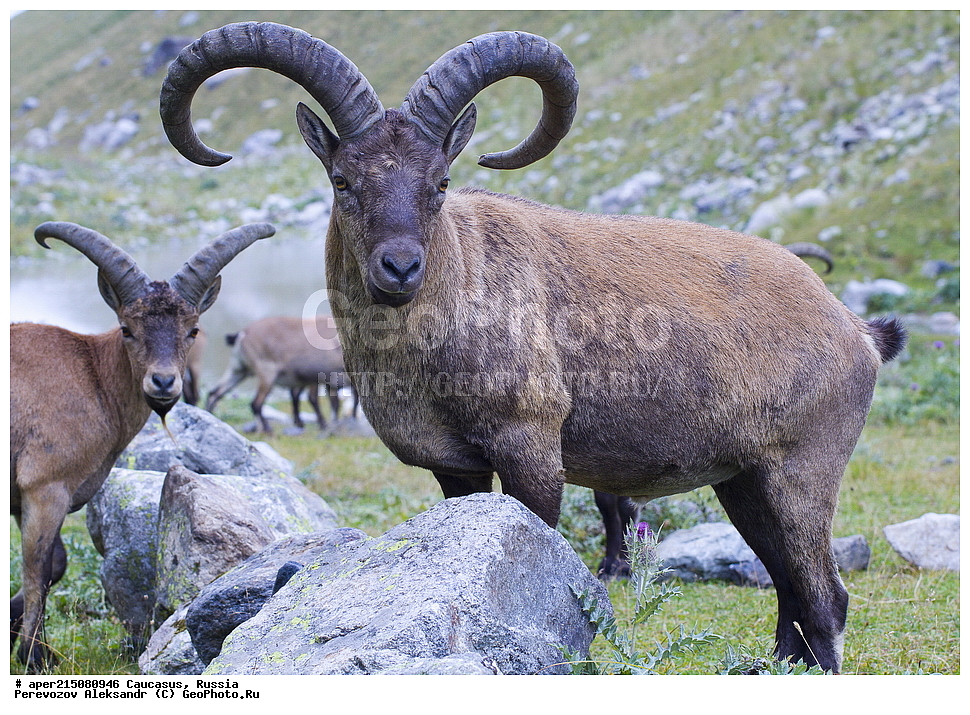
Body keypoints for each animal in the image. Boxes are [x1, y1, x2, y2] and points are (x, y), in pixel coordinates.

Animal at [10, 221, 274, 670]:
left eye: (192, 329)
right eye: (127, 329)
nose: (164, 382)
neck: (93, 376)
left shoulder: (28, 497)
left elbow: (55, 565)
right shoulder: (45, 486)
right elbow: (38, 569)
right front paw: (34, 657)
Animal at [205, 315, 355, 434]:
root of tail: (242, 334)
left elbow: (335, 403)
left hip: (238, 370)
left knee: (215, 393)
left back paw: (211, 417)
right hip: (267, 373)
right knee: (256, 403)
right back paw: (267, 428)